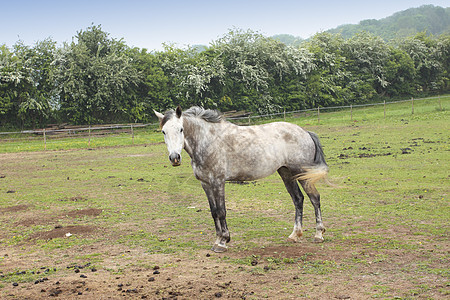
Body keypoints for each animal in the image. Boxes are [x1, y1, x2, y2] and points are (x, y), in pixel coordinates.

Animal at [154, 106, 326, 252]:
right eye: (163, 132)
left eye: (181, 129)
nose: (175, 158)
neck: (208, 140)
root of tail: (305, 132)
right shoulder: (206, 184)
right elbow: (213, 212)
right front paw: (217, 239)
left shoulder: (218, 182)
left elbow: (221, 211)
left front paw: (223, 242)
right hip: (286, 173)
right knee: (298, 199)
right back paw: (295, 235)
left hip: (302, 173)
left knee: (314, 198)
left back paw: (319, 234)